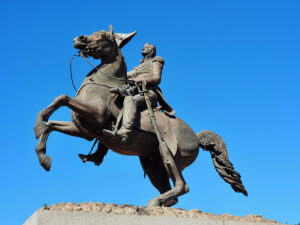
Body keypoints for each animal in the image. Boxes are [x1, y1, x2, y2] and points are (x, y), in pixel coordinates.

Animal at [34, 25, 247, 207]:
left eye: (103, 36)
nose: (79, 38)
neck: (103, 84)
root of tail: (196, 136)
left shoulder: (96, 115)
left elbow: (62, 98)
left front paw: (37, 128)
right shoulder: (84, 130)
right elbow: (51, 124)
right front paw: (44, 156)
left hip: (169, 154)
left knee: (182, 185)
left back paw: (154, 201)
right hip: (153, 164)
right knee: (172, 194)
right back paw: (160, 202)